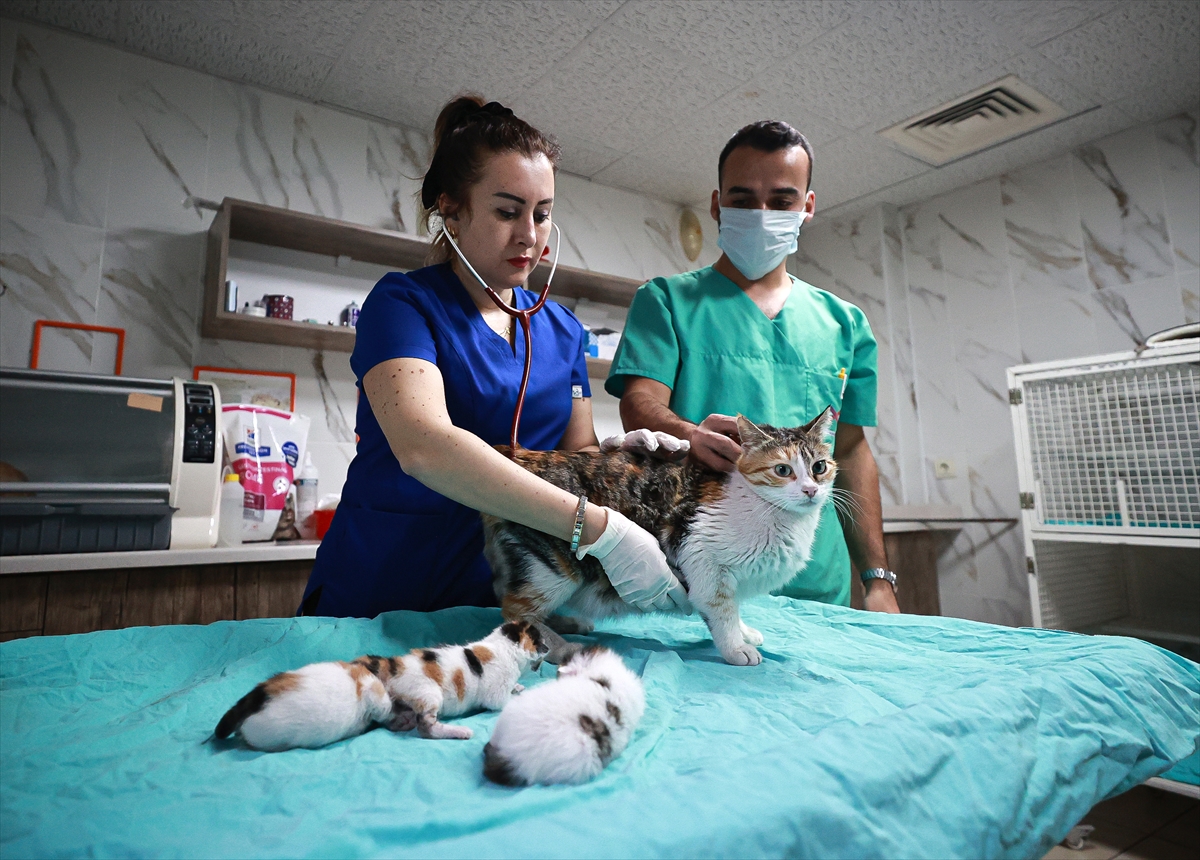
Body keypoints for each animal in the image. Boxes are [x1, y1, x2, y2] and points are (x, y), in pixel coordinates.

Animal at [214, 618, 549, 748]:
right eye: (539, 640)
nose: (548, 647)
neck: (500, 647)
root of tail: (388, 665)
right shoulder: (494, 695)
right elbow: (503, 699)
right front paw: (523, 690)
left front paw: (520, 686)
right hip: (429, 694)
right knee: (426, 729)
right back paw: (457, 731)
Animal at [482, 407, 840, 662]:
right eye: (782, 470)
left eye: (819, 467)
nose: (810, 490)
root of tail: (520, 455)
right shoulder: (706, 563)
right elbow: (722, 611)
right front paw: (736, 647)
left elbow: (734, 609)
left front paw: (744, 632)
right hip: (554, 568)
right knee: (514, 610)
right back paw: (561, 646)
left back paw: (566, 623)